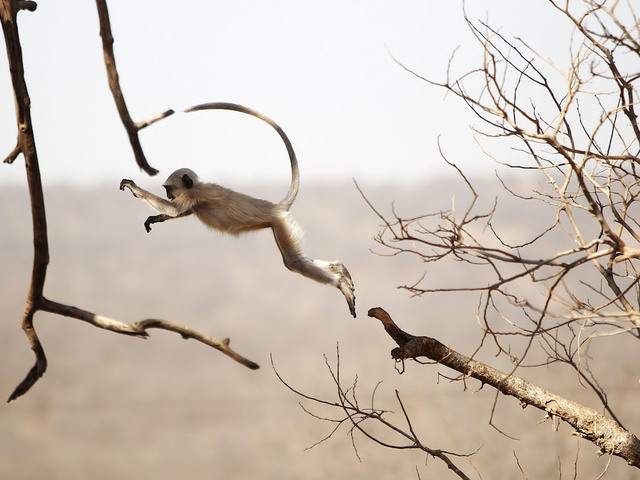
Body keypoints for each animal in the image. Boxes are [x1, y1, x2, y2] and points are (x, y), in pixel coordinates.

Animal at [119, 102, 356, 317]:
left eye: (168, 190)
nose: (169, 195)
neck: (197, 187)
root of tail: (275, 207)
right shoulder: (192, 199)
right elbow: (181, 212)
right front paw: (155, 218)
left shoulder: (194, 195)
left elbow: (176, 209)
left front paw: (134, 188)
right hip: (281, 225)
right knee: (296, 260)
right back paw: (339, 269)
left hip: (280, 224)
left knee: (293, 262)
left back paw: (340, 283)